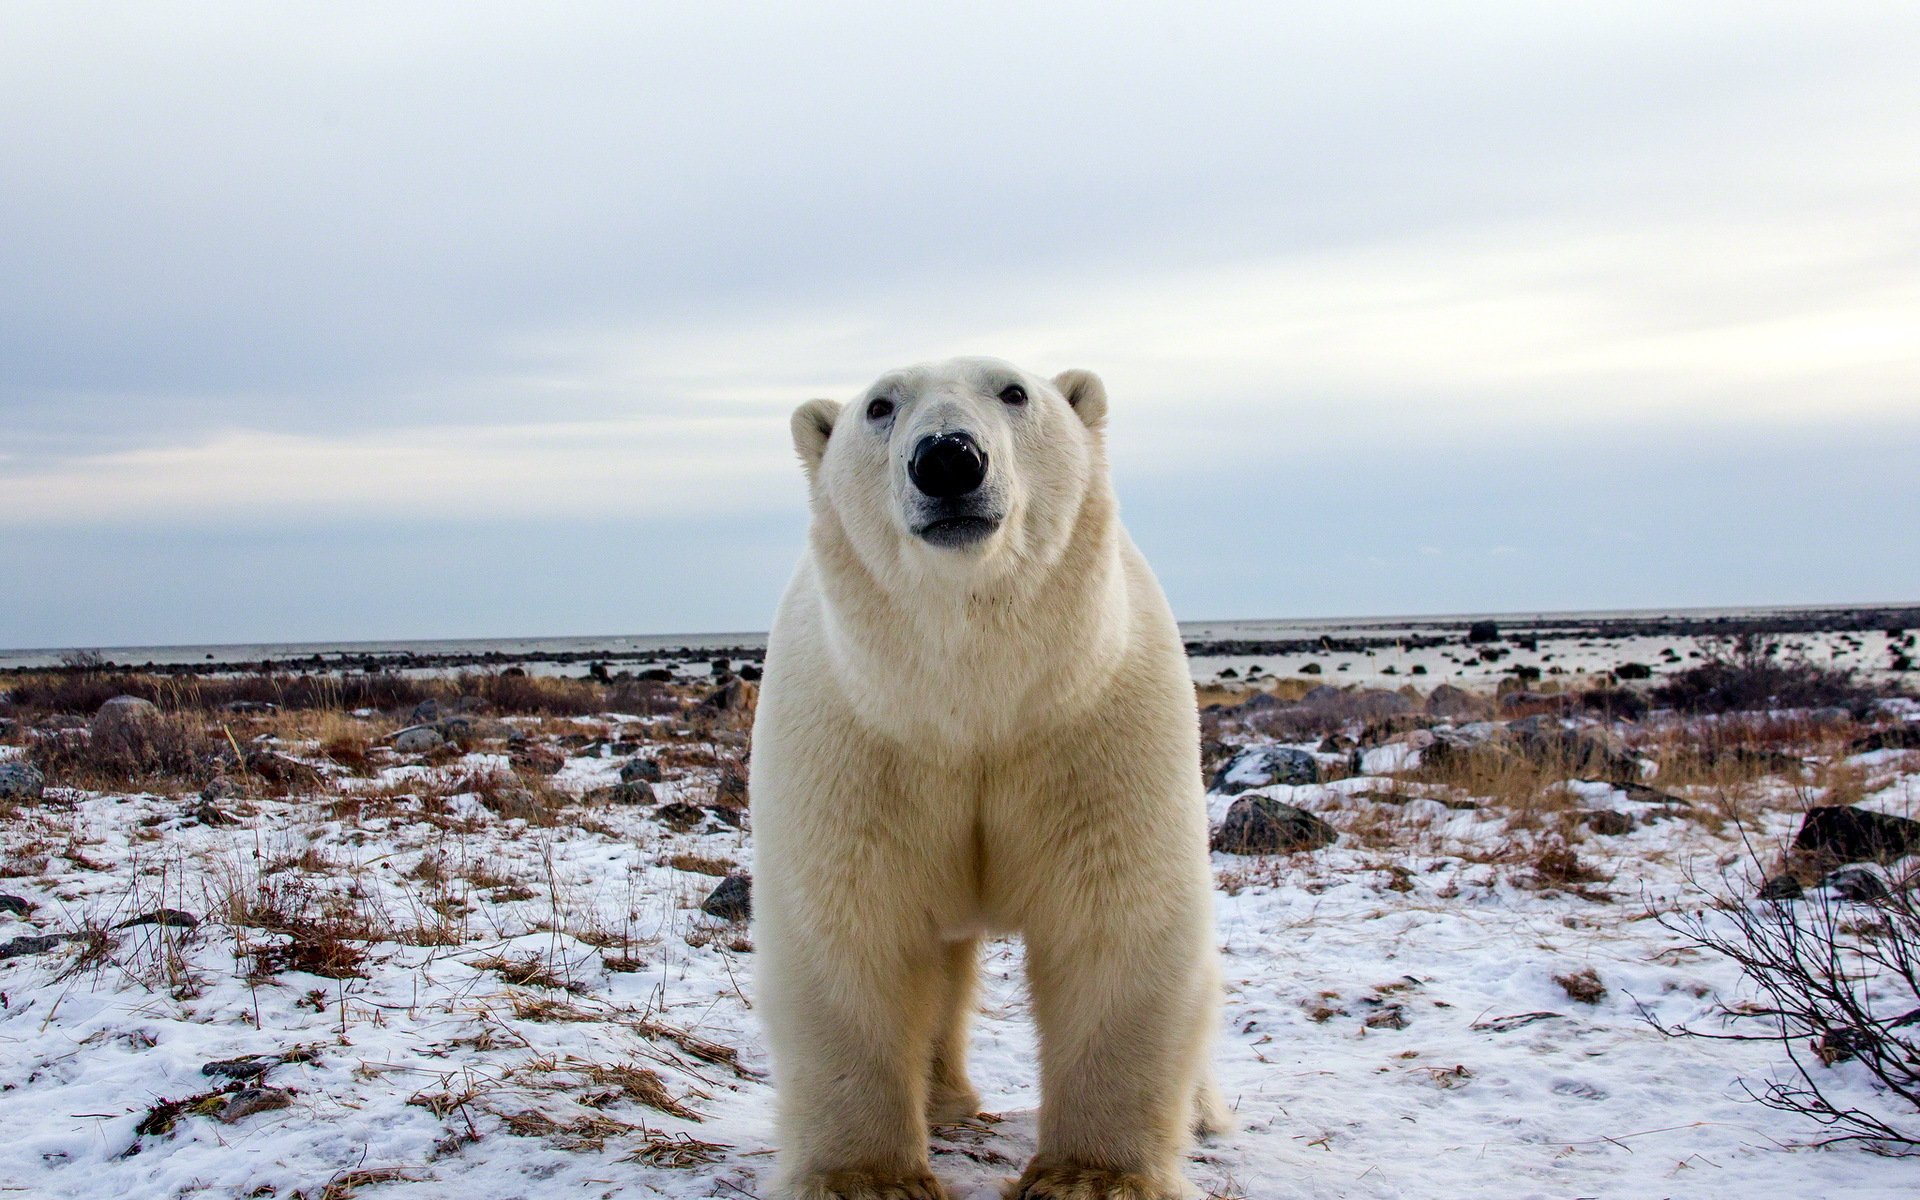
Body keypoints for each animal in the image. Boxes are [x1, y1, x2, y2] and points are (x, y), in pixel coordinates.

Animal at [741, 357, 1221, 1198]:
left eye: (1014, 391)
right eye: (879, 406)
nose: (947, 459)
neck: (974, 701)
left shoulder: (1093, 729)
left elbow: (1115, 920)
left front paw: (1089, 1177)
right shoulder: (859, 741)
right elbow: (854, 928)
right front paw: (867, 1177)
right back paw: (943, 1103)